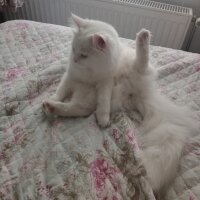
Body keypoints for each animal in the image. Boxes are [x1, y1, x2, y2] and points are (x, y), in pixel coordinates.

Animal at [43, 14, 198, 196]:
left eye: (84, 55)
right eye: (73, 50)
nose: (74, 59)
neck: (90, 74)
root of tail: (139, 93)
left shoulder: (105, 82)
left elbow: (103, 102)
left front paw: (103, 118)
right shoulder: (71, 75)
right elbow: (60, 91)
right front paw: (53, 97)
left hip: (135, 71)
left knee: (142, 60)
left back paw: (143, 37)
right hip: (86, 97)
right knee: (75, 108)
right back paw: (49, 106)